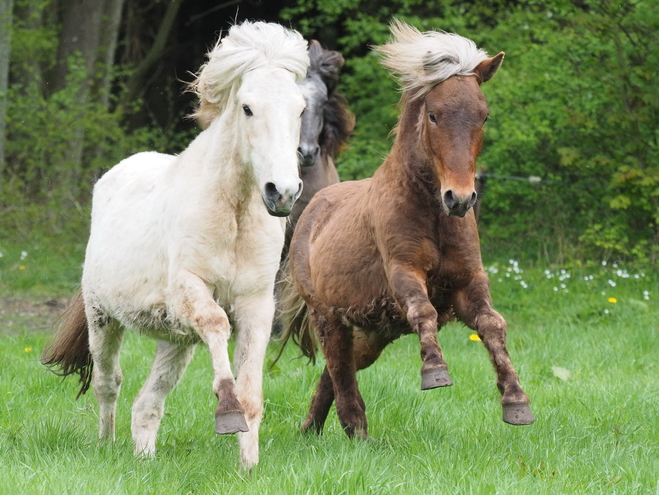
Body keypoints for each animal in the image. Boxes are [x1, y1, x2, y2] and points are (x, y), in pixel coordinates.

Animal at [42, 23, 310, 470]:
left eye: (302, 109)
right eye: (247, 108)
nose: (283, 193)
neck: (234, 217)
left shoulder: (256, 306)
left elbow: (253, 393)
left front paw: (248, 466)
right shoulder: (189, 289)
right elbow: (218, 324)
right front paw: (227, 411)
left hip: (176, 340)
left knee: (147, 403)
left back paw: (144, 458)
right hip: (103, 319)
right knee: (108, 383)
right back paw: (106, 446)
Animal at [278, 20, 536, 438]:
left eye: (483, 116)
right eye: (433, 115)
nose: (459, 198)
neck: (433, 215)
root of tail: (312, 210)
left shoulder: (469, 281)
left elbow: (492, 325)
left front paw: (516, 401)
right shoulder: (403, 271)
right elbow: (422, 311)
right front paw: (435, 371)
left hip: (372, 333)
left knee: (338, 371)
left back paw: (313, 427)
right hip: (328, 318)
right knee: (340, 370)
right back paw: (354, 431)